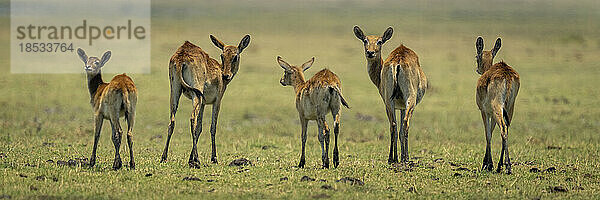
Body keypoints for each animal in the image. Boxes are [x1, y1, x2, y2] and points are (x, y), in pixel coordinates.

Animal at [159, 34, 251, 167]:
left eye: (235, 56)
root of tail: (182, 55)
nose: (226, 75)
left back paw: (164, 157)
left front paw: (190, 158)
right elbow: (212, 127)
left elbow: (199, 128)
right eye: (222, 55)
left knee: (172, 121)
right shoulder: (217, 101)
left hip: (175, 92)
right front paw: (213, 158)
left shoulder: (203, 104)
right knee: (192, 118)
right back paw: (197, 160)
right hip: (196, 94)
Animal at [354, 25, 428, 163]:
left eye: (379, 41)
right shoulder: (403, 106)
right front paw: (404, 156)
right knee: (404, 124)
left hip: (389, 102)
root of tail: (398, 61)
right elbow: (402, 130)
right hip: (409, 100)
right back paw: (404, 158)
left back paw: (392, 158)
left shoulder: (396, 105)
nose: (370, 52)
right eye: (365, 40)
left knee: (393, 125)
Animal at [474, 36, 520, 174]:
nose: (477, 69)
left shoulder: (484, 112)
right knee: (506, 129)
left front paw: (487, 164)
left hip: (497, 108)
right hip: (509, 108)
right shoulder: (492, 113)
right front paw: (491, 164)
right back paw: (501, 165)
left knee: (503, 128)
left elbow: (488, 134)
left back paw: (508, 166)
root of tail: (507, 74)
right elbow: (492, 131)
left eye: (476, 57)